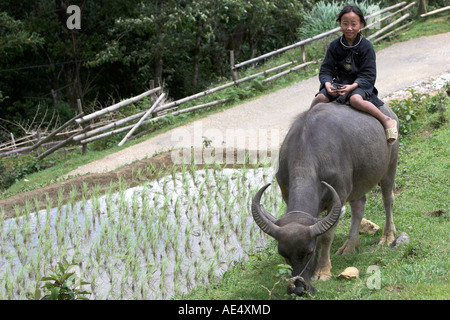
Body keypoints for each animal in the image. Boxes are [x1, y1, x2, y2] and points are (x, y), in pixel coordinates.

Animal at [251, 102, 400, 296]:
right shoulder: (286, 194)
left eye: (309, 252)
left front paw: (322, 271)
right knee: (358, 207)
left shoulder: (339, 194)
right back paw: (349, 246)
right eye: (283, 255)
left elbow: (327, 236)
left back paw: (388, 236)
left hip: (390, 165)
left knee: (387, 199)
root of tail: (390, 112)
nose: (298, 288)